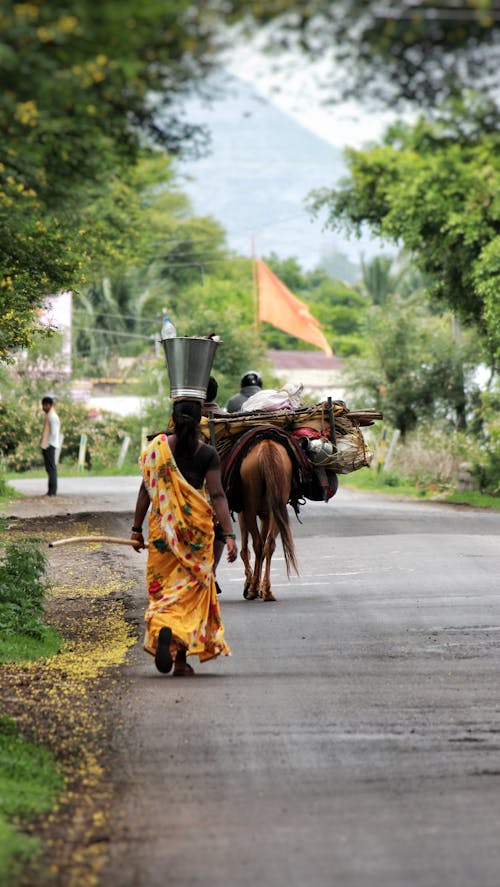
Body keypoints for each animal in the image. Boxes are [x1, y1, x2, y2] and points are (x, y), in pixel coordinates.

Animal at [237, 438, 296, 604]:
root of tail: (267, 446)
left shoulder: (242, 511)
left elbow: (245, 549)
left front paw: (250, 584)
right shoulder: (265, 515)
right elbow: (263, 547)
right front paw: (259, 587)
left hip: (250, 508)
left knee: (257, 544)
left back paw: (252, 591)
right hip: (278, 505)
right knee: (269, 544)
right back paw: (268, 591)